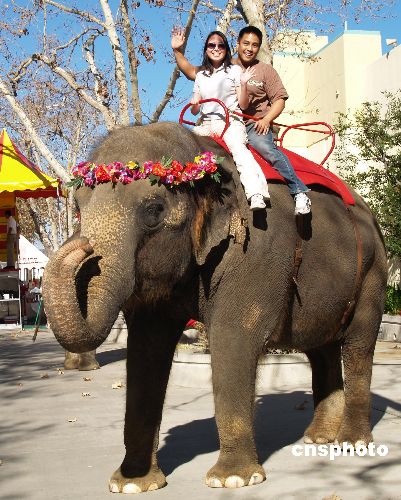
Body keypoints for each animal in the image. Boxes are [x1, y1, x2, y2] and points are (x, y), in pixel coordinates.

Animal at [41, 122, 388, 492]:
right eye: (78, 206)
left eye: (154, 211)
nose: (81, 245)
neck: (200, 149)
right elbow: (146, 349)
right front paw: (132, 484)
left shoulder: (258, 249)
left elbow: (233, 336)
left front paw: (233, 479)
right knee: (321, 349)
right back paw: (318, 439)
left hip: (373, 272)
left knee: (358, 345)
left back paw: (351, 443)